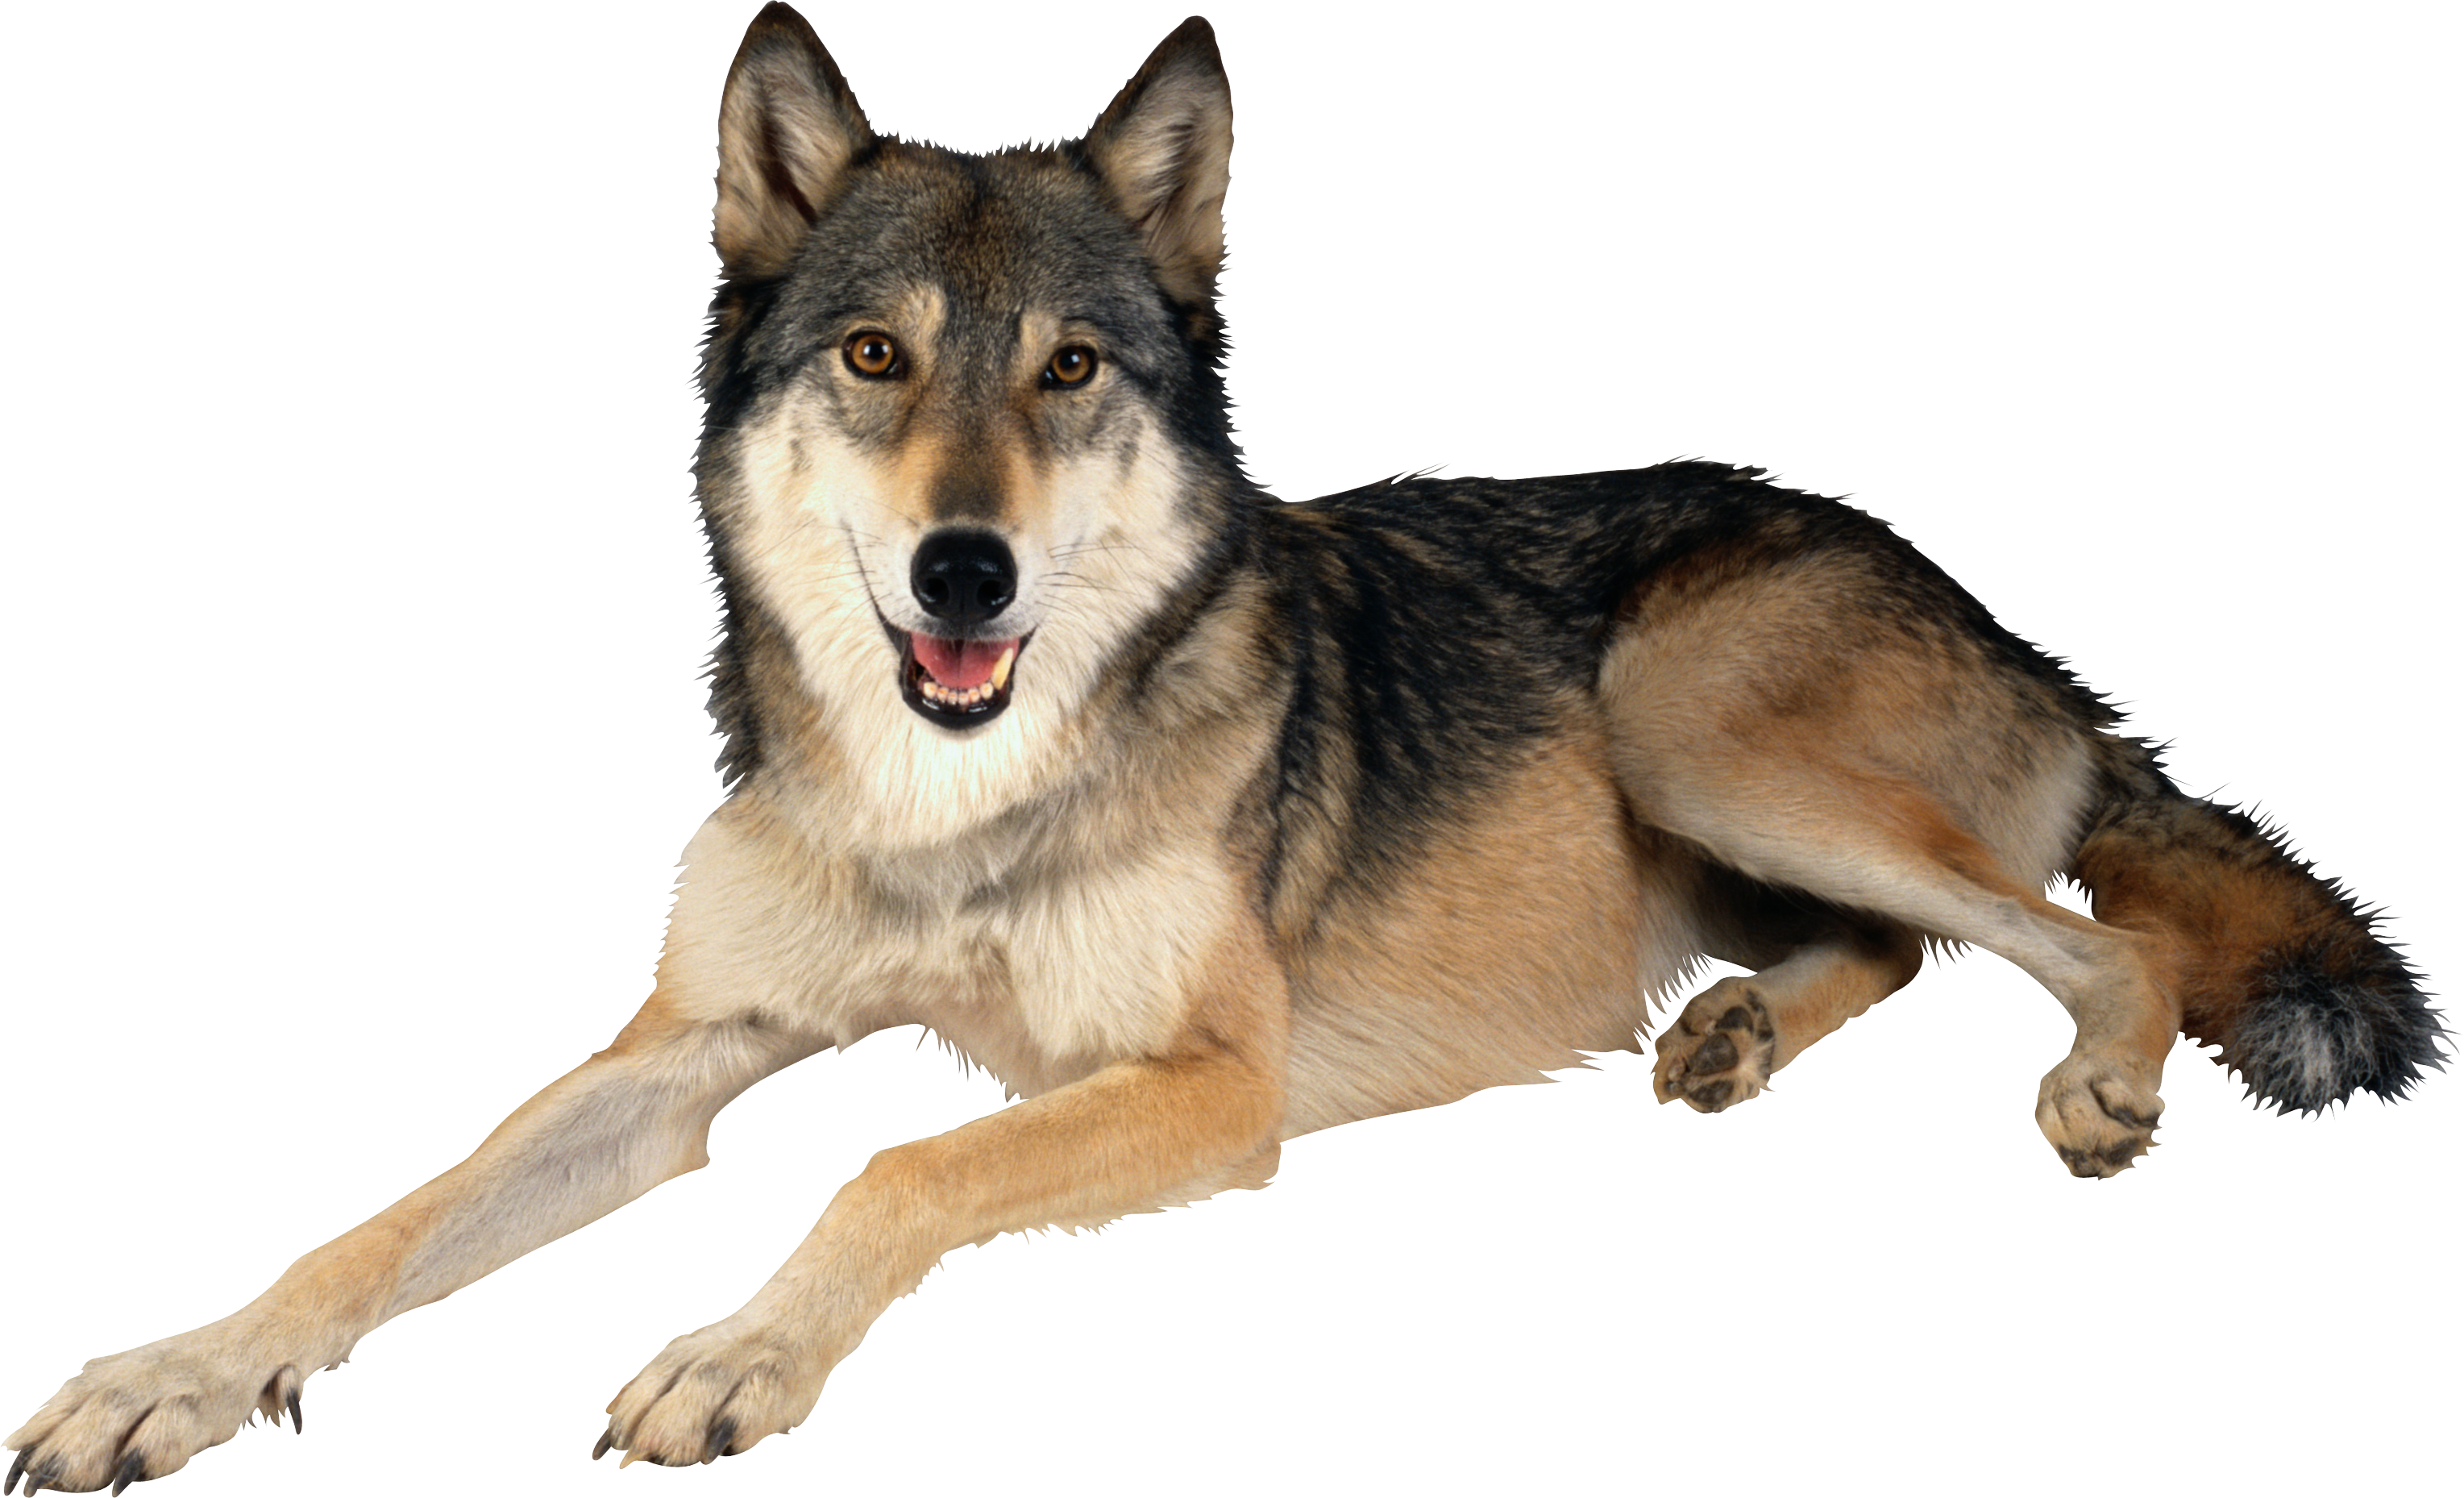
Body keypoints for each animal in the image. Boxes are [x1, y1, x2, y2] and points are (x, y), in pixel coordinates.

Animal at [6, 4, 2443, 1491]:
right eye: (878, 357)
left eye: (1072, 367)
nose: (967, 567)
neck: (956, 795)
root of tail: (1991, 609)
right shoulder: (686, 1050)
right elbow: (382, 1219)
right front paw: (169, 1372)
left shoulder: (1211, 1086)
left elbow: (898, 1162)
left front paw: (735, 1352)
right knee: (1918, 940)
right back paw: (1730, 1030)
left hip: (1683, 721)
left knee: (2091, 932)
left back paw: (2094, 1085)